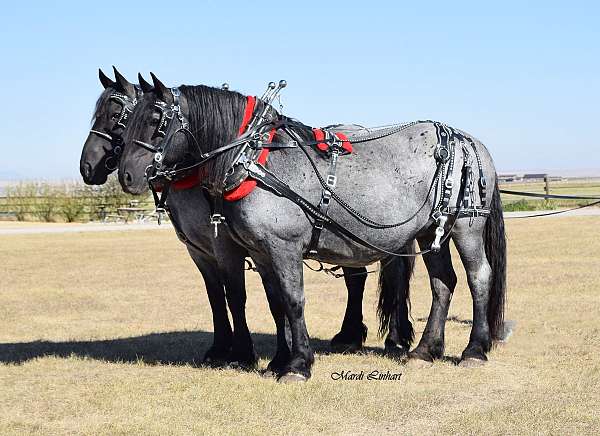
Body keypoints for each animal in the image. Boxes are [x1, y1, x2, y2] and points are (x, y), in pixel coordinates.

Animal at [117, 72, 506, 382]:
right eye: (127, 119)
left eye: (156, 119)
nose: (126, 175)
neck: (254, 160)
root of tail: (466, 140)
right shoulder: (261, 252)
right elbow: (276, 303)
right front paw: (279, 359)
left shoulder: (283, 246)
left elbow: (293, 300)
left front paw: (298, 364)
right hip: (429, 231)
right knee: (443, 283)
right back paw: (426, 350)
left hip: (466, 226)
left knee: (478, 277)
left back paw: (474, 350)